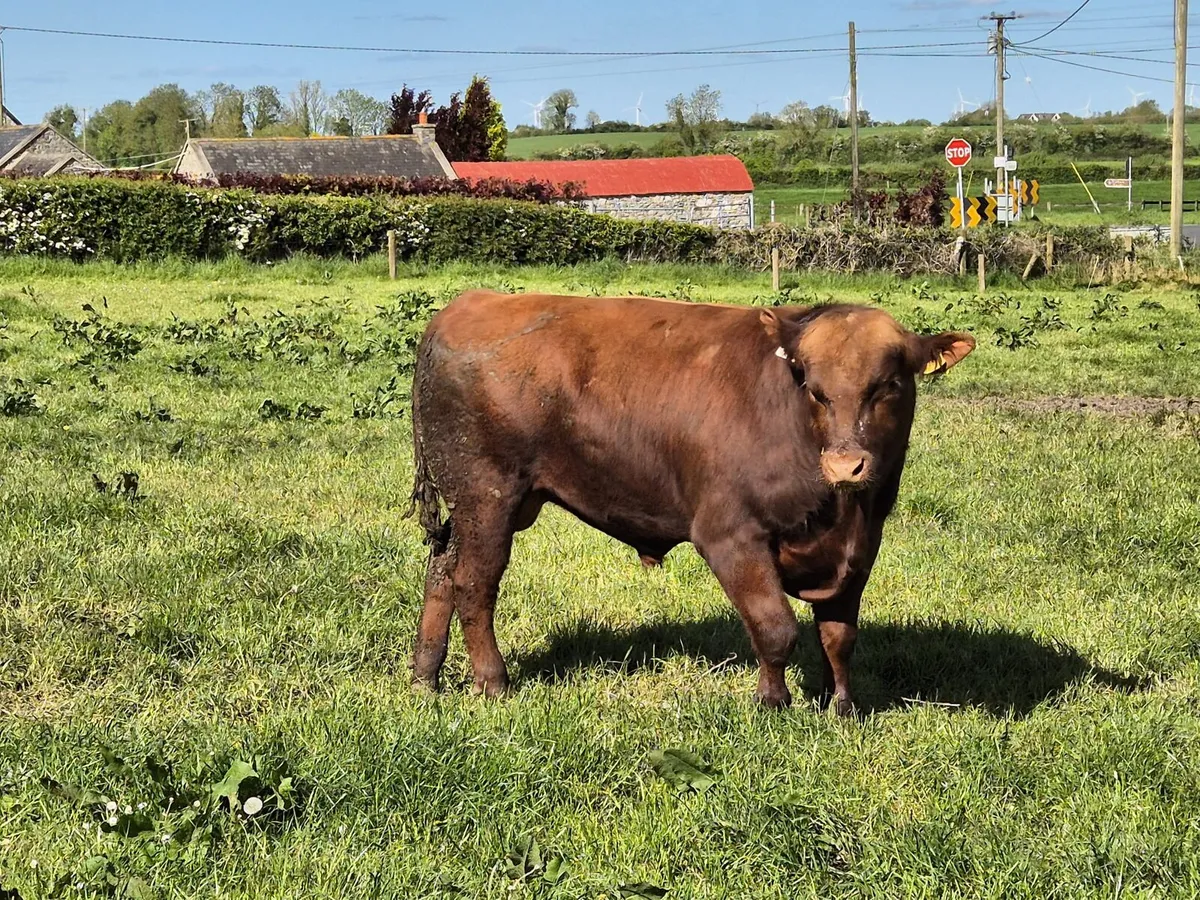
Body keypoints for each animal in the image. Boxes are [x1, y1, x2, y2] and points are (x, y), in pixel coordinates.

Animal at [405, 290, 975, 714]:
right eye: (813, 387)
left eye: (890, 385)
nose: (845, 466)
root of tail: (463, 307)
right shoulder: (731, 536)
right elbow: (775, 628)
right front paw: (773, 702)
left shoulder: (859, 549)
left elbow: (838, 637)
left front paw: (842, 708)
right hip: (488, 498)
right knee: (473, 584)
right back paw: (492, 681)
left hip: (476, 507)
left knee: (442, 574)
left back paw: (424, 676)